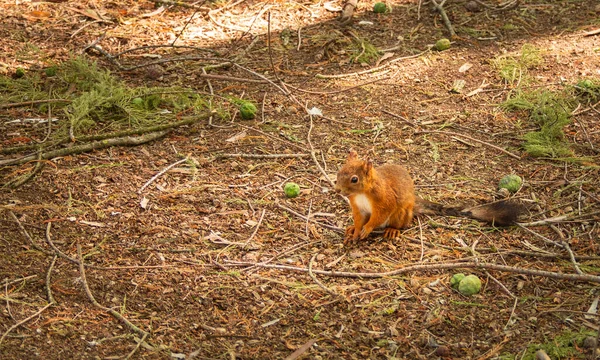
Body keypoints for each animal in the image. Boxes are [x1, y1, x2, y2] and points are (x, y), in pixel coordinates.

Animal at [336, 149, 524, 245]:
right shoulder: (358, 207)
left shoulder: (384, 201)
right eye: (339, 170)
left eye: (354, 179)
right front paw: (356, 230)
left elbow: (379, 216)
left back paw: (392, 230)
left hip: (401, 214)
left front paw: (367, 229)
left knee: (400, 224)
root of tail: (413, 204)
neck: (361, 193)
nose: (337, 190)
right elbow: (359, 220)